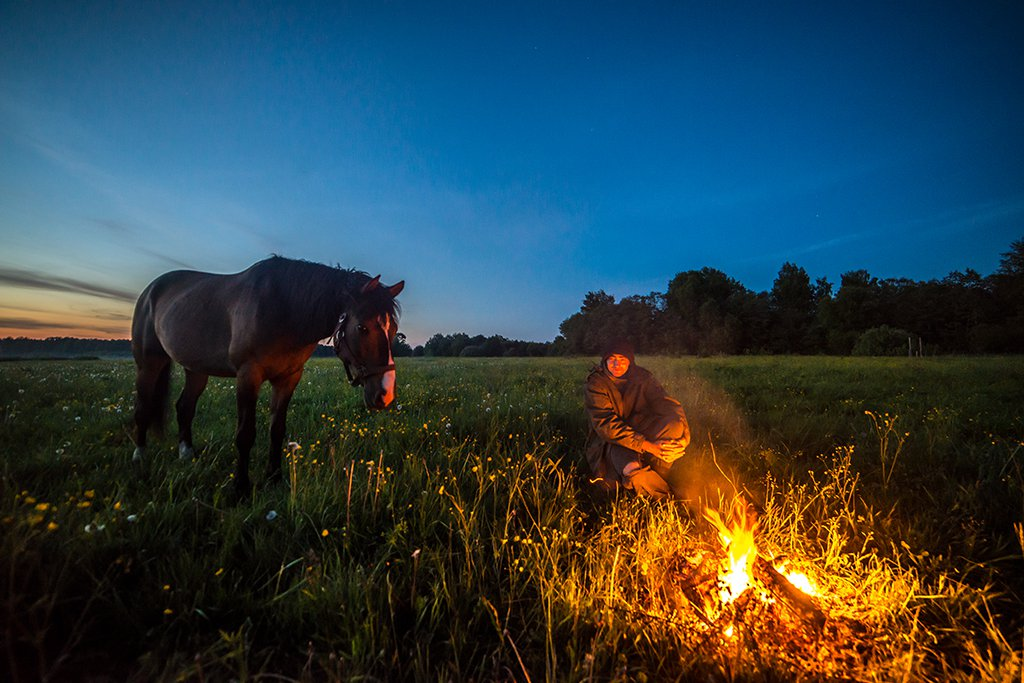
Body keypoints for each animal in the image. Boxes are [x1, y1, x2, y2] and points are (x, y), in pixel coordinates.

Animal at [134, 255, 405, 497]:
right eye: (362, 327)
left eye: (393, 329)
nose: (385, 394)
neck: (283, 308)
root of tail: (150, 290)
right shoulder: (248, 376)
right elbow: (245, 434)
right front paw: (241, 487)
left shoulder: (288, 378)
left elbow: (277, 430)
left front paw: (274, 477)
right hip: (149, 364)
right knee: (143, 407)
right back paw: (140, 458)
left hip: (196, 370)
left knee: (184, 407)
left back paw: (186, 454)